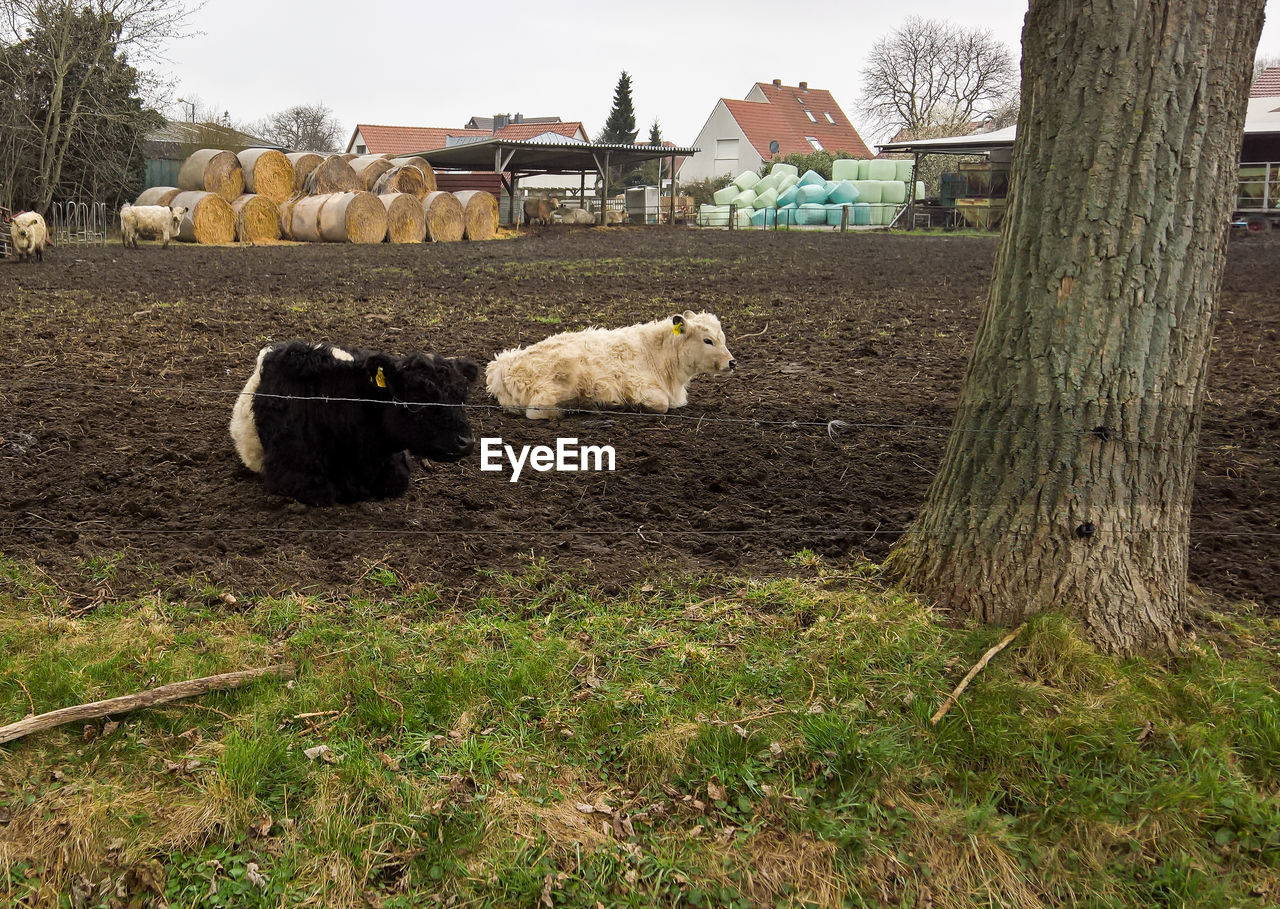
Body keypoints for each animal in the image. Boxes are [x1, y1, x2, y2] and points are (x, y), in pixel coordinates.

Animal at [483, 308, 737, 417]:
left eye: (723, 338)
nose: (732, 362)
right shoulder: (640, 387)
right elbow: (661, 404)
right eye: (708, 340)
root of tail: (501, 365)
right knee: (538, 411)